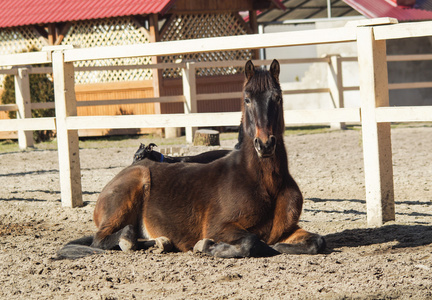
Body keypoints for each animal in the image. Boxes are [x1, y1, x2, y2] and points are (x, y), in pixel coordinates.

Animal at [58, 59, 328, 258]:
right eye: (247, 99)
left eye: (278, 97)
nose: (265, 144)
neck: (263, 183)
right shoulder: (220, 227)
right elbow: (251, 242)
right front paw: (206, 246)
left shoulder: (287, 229)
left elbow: (317, 241)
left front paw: (280, 246)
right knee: (102, 239)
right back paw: (128, 240)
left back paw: (160, 242)